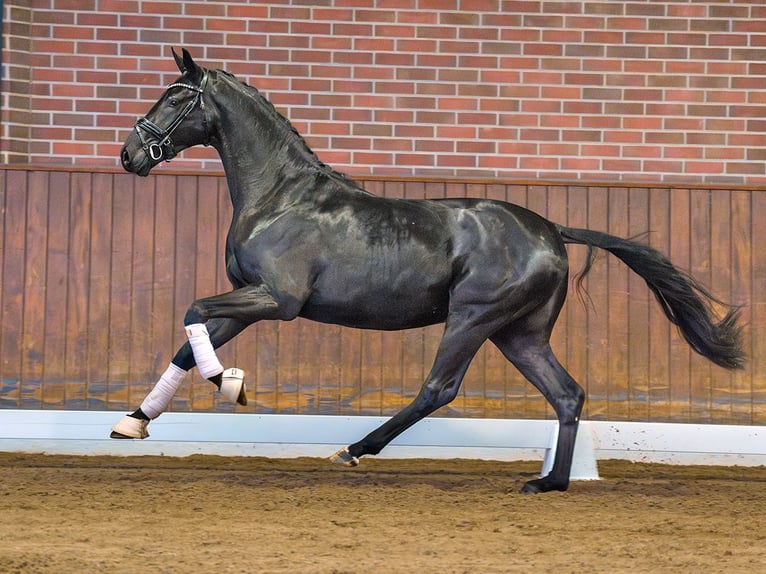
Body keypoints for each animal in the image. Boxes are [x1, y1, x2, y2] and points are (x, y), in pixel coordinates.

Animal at [115, 49, 744, 496]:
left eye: (174, 97)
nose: (130, 155)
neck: (281, 197)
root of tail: (551, 230)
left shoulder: (278, 299)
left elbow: (194, 311)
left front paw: (230, 383)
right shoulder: (250, 296)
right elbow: (189, 341)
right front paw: (134, 422)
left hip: (473, 317)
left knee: (439, 388)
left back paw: (354, 450)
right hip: (520, 333)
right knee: (567, 395)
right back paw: (549, 482)